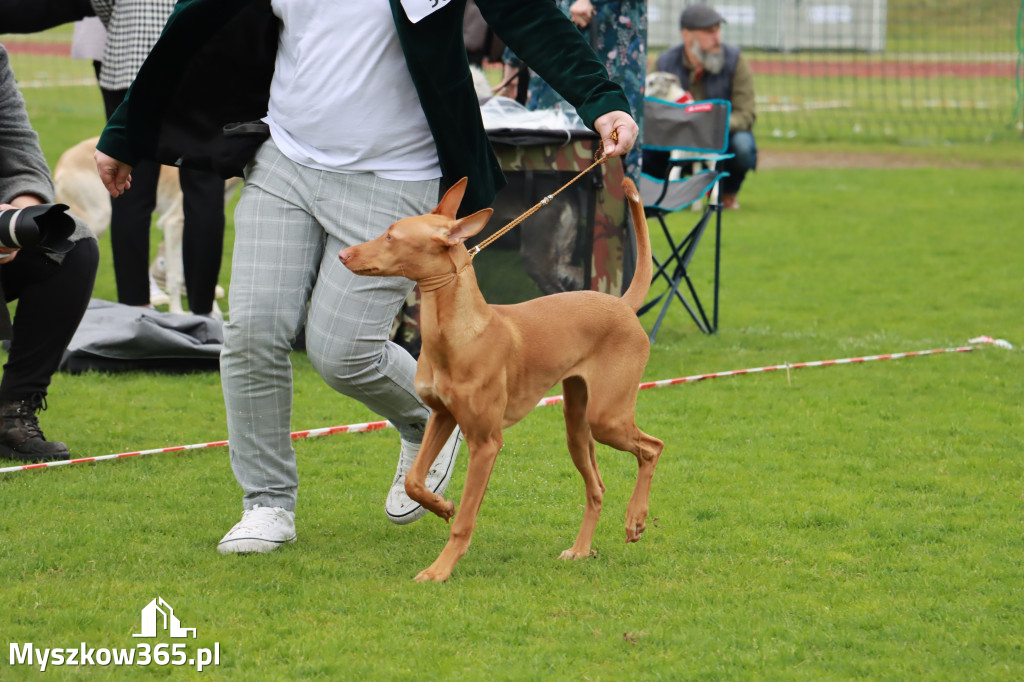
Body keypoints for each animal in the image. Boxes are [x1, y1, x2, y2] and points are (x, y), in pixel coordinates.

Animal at [54, 139, 235, 321]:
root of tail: (63, 160)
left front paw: (212, 313)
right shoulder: (174, 223)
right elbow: (175, 274)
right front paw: (177, 312)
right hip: (97, 218)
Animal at [339, 175, 663, 577]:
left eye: (390, 236)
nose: (342, 255)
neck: (460, 332)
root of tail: (621, 303)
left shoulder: (486, 443)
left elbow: (465, 520)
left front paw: (440, 570)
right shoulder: (442, 415)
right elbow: (414, 480)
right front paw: (441, 506)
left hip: (608, 418)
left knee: (652, 448)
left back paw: (636, 518)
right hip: (578, 426)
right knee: (597, 488)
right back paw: (581, 549)